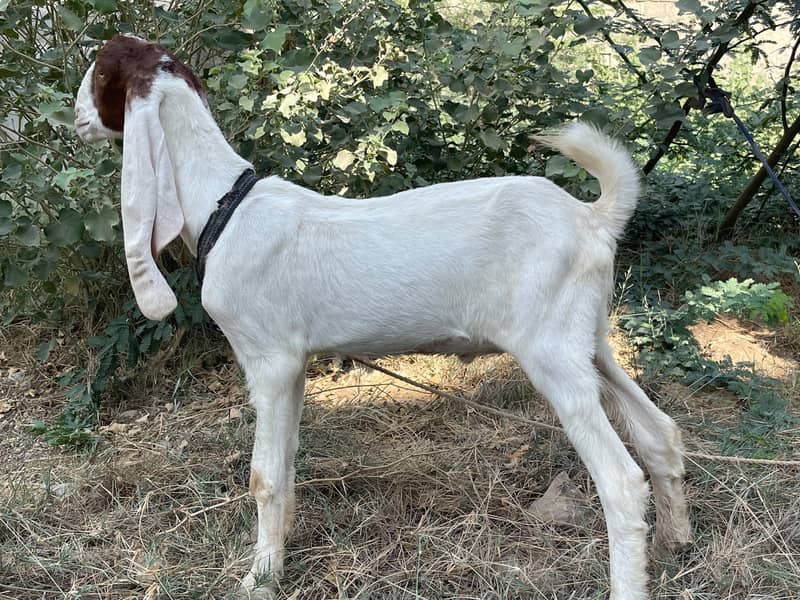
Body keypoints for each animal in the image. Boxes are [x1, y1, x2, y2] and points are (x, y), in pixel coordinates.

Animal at [74, 34, 690, 599]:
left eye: (100, 74)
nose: (75, 120)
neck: (225, 206)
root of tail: (592, 218)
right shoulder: (294, 365)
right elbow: (288, 462)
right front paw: (282, 550)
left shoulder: (268, 360)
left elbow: (264, 475)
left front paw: (259, 578)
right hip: (588, 341)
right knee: (658, 431)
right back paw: (674, 542)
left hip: (552, 352)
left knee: (621, 480)